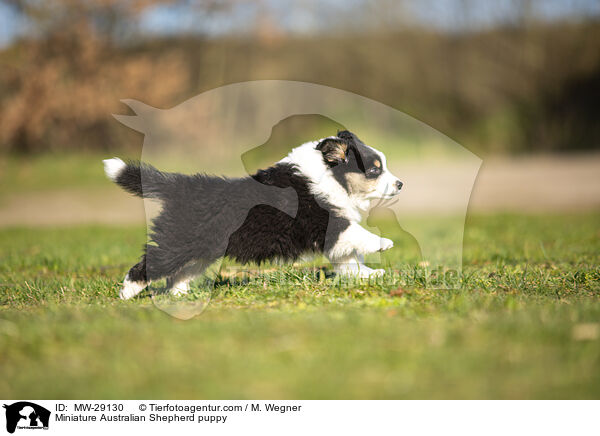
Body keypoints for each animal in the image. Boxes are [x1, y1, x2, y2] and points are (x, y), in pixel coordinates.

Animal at [103, 130, 404, 300]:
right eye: (374, 170)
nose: (401, 184)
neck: (329, 177)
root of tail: (182, 186)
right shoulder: (326, 223)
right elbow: (356, 234)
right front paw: (383, 243)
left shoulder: (331, 235)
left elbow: (348, 259)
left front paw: (368, 275)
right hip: (177, 242)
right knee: (149, 264)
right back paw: (126, 293)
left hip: (202, 250)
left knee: (179, 274)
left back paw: (181, 296)